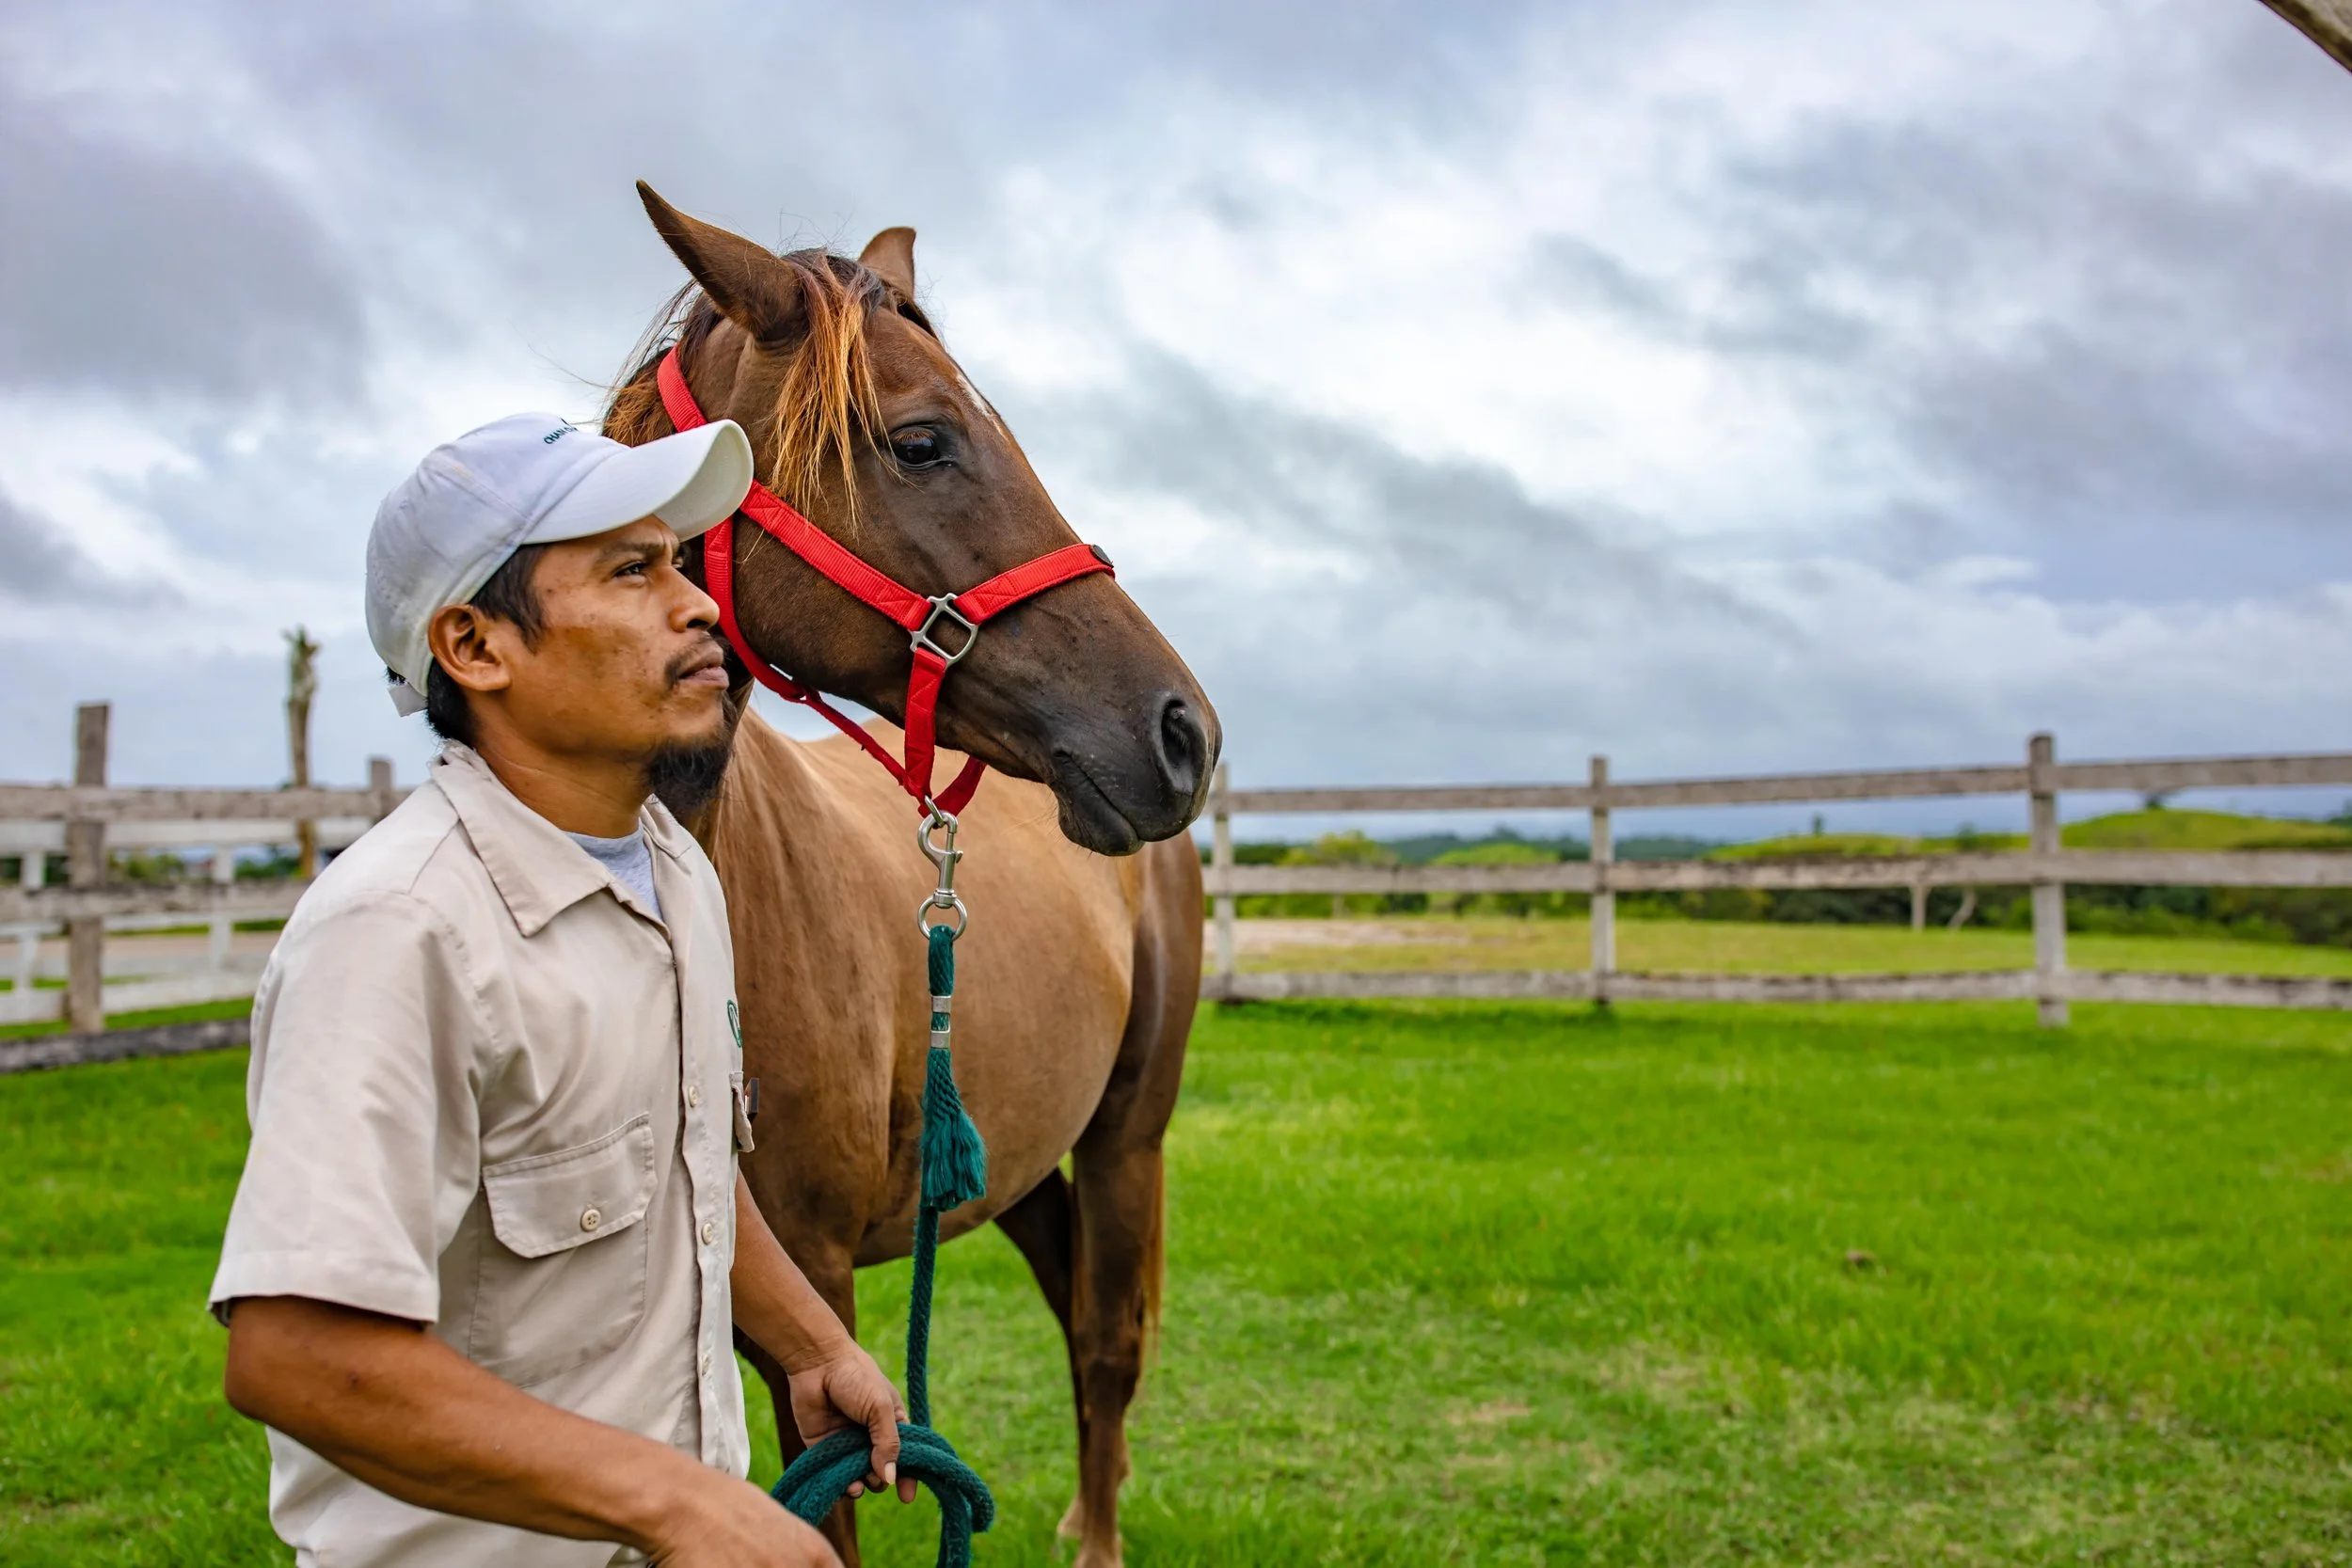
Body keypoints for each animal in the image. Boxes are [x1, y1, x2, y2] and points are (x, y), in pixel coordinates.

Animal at [604, 184, 1218, 1568]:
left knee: (1106, 1344)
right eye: (923, 441)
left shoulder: (818, 1298)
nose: (1183, 732)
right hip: (1025, 1160)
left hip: (1125, 1138)